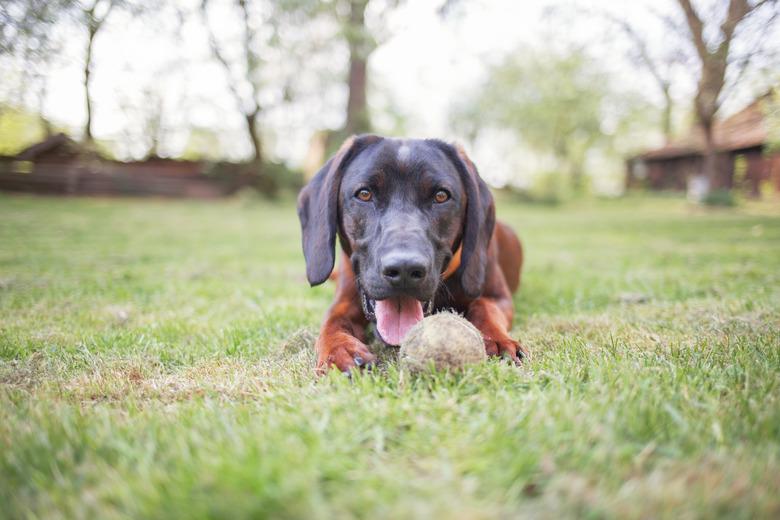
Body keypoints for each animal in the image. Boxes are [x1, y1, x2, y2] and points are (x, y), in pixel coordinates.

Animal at [296, 133, 528, 370]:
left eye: (441, 196)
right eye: (364, 194)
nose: (404, 270)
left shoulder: (499, 296)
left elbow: (485, 306)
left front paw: (497, 340)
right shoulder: (344, 299)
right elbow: (331, 321)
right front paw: (338, 348)